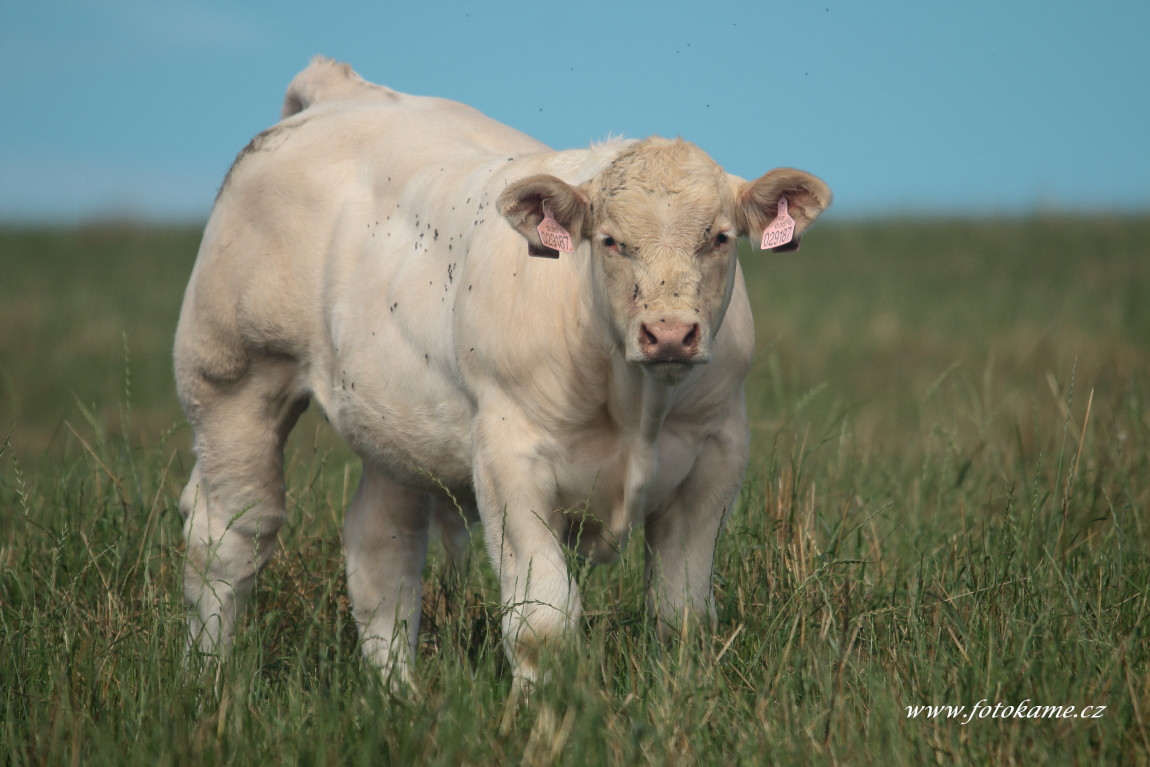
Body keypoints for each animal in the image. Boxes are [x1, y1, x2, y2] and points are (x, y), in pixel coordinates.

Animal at [174, 58, 832, 685]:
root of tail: (340, 91)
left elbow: (683, 617)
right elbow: (542, 624)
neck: (635, 405)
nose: (669, 333)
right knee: (229, 536)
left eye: (719, 238)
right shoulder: (509, 462)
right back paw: (209, 679)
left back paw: (399, 693)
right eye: (610, 240)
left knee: (381, 551)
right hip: (232, 378)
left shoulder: (717, 455)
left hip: (393, 429)